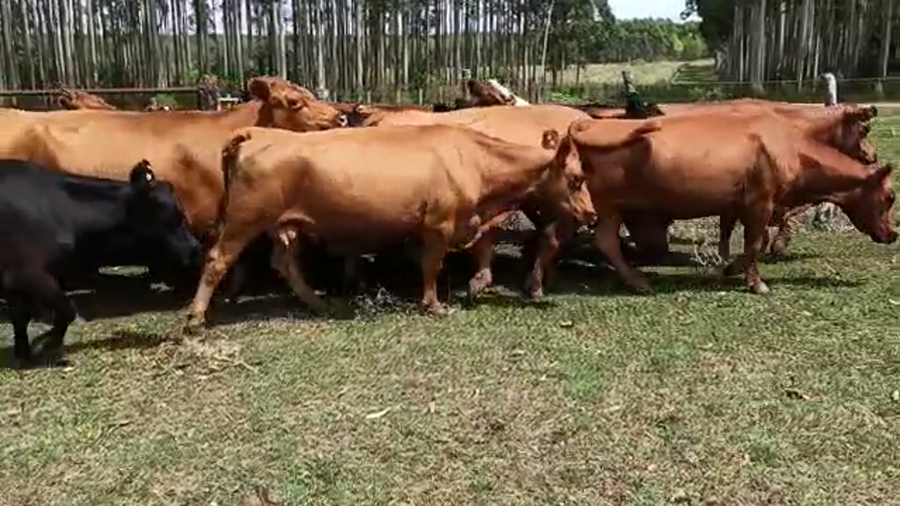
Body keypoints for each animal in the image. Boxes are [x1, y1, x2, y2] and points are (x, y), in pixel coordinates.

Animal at [0, 158, 200, 367]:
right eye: (176, 216)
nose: (196, 248)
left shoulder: (14, 284)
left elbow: (20, 319)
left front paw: (24, 354)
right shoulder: (28, 274)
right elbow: (67, 311)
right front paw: (43, 343)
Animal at [183, 123, 596, 332]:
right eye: (576, 179)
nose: (591, 214)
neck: (474, 159)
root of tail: (258, 132)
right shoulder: (438, 225)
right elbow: (431, 266)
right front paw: (434, 305)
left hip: (283, 225)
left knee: (283, 263)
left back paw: (320, 303)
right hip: (244, 219)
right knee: (216, 260)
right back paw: (195, 319)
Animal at [537, 112, 896, 296]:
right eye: (891, 197)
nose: (893, 234)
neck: (790, 148)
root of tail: (589, 123)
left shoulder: (738, 205)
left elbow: (739, 237)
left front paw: (731, 266)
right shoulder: (760, 202)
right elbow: (753, 243)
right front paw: (754, 281)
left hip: (600, 207)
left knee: (579, 238)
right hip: (597, 204)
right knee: (580, 239)